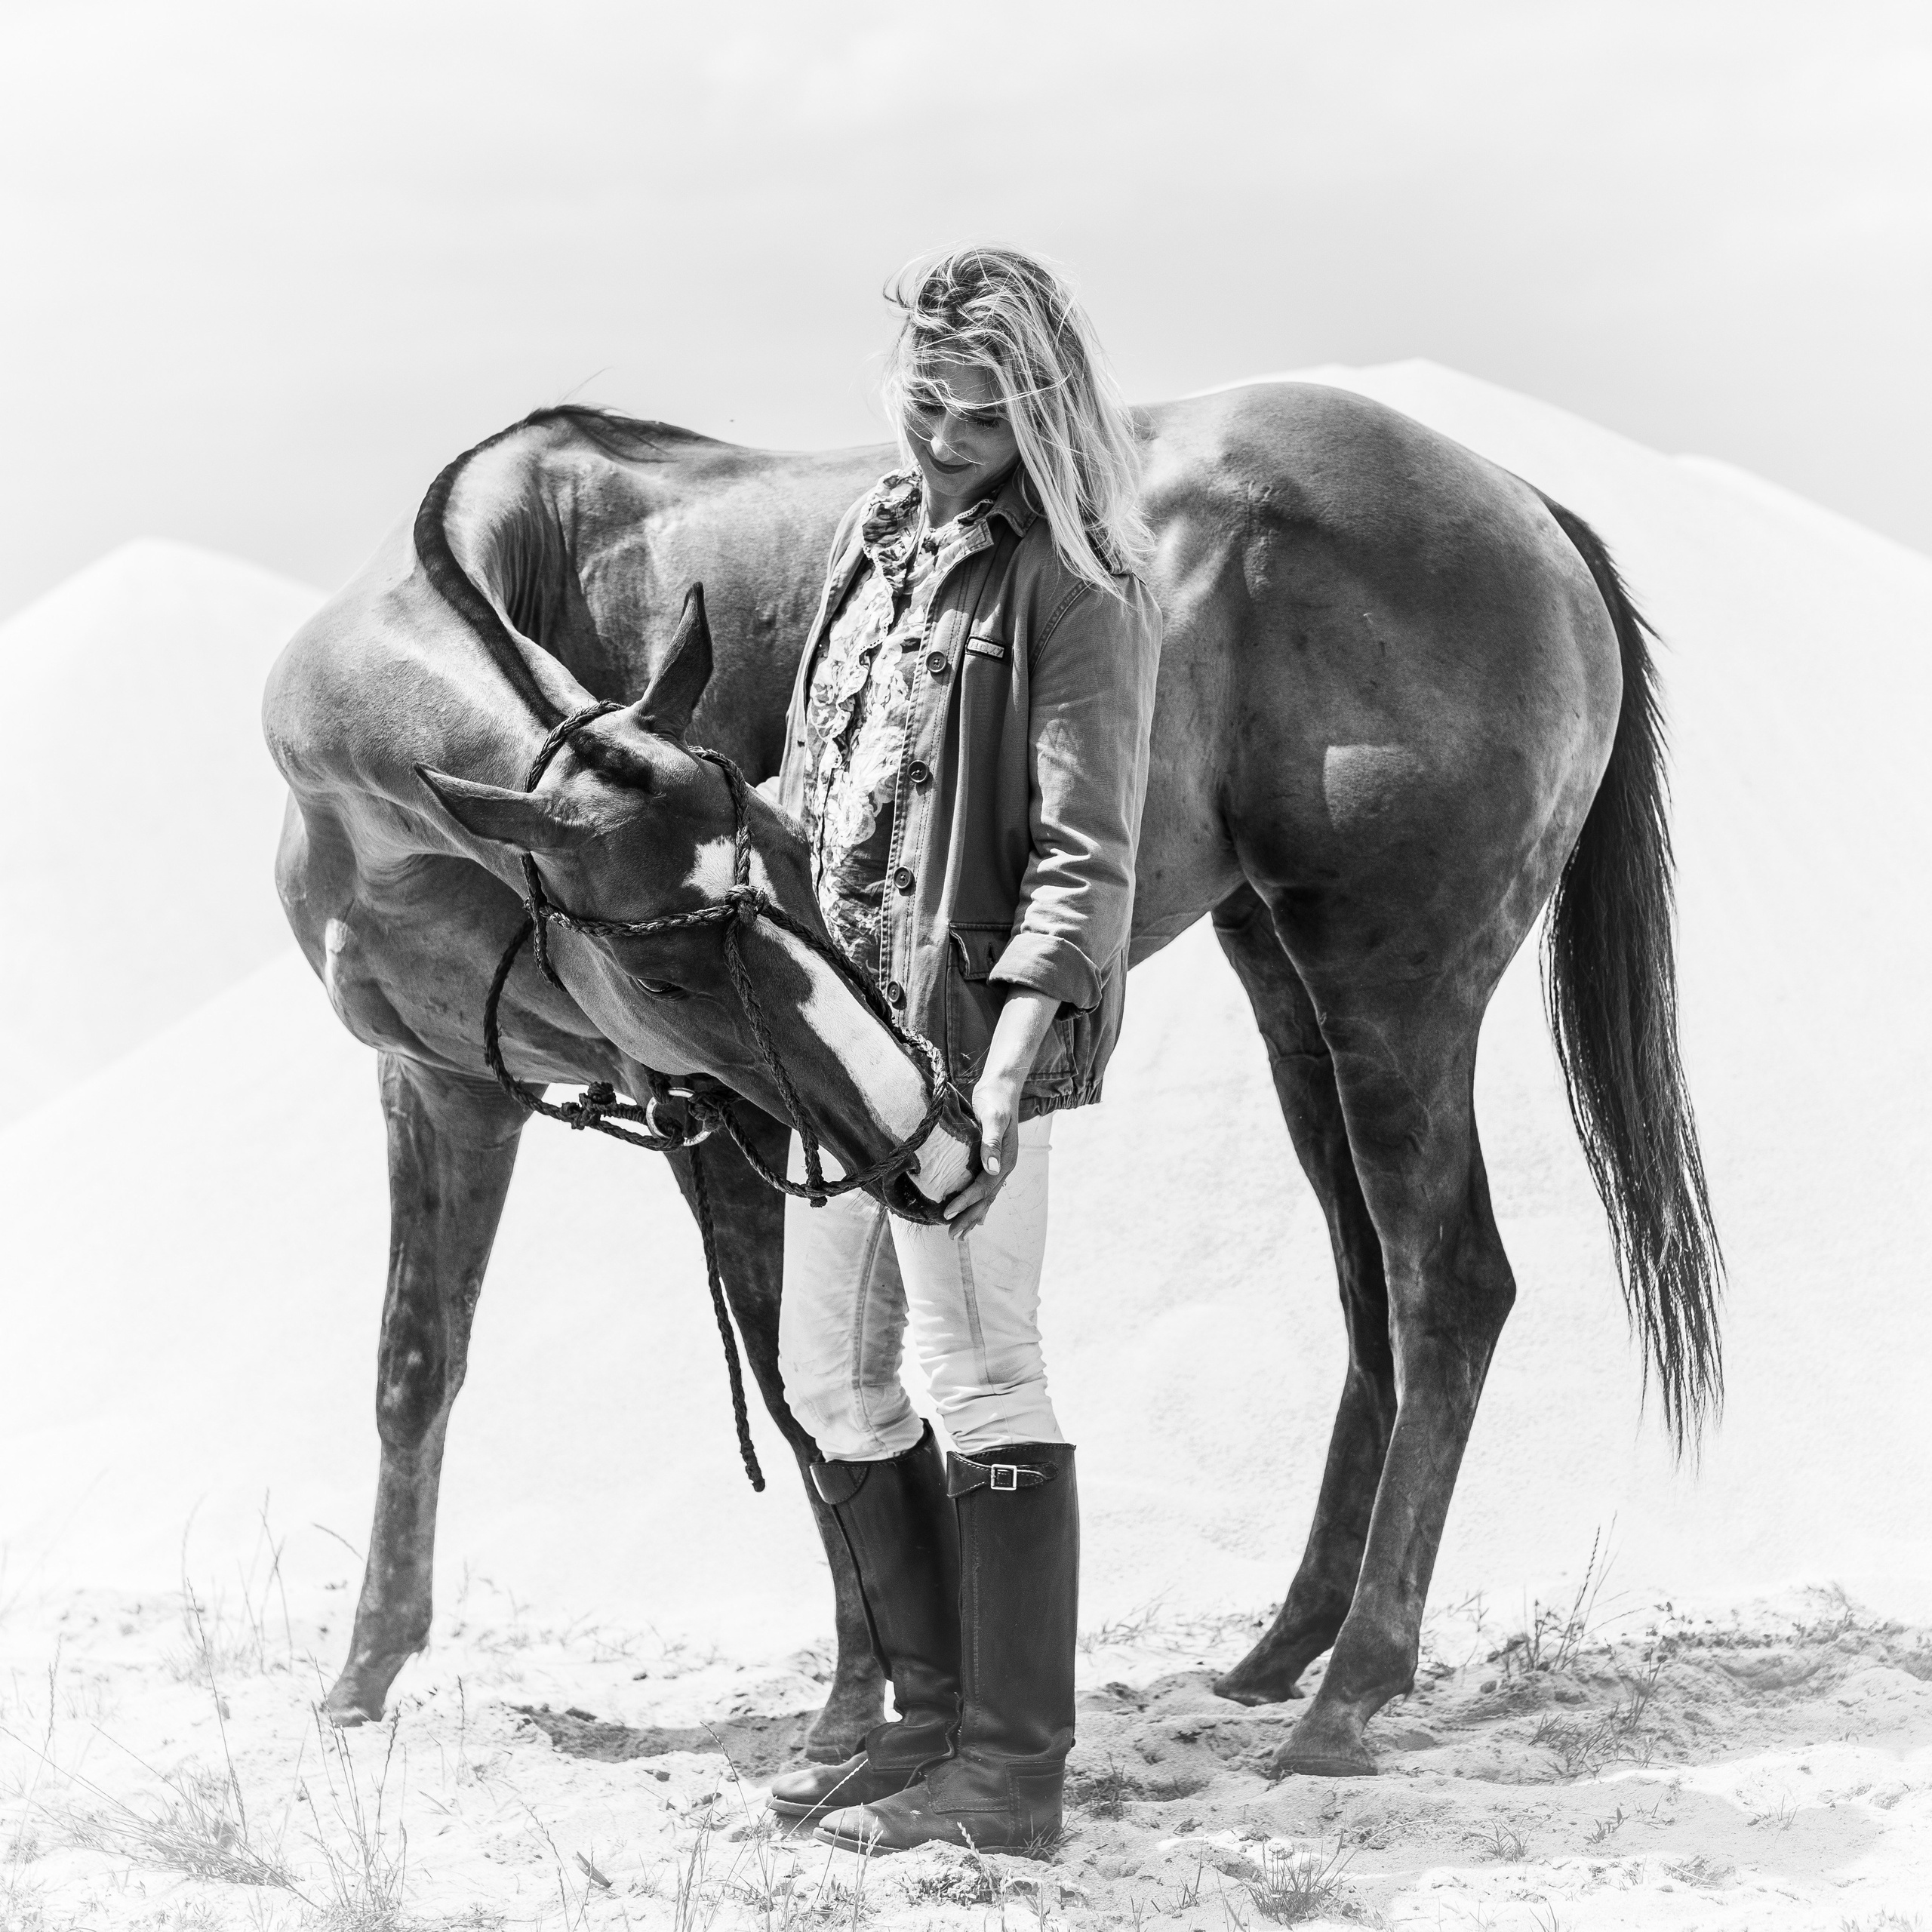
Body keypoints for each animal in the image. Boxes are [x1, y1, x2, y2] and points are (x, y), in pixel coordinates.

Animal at [262, 381, 1722, 1778]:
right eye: (670, 968)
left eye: (792, 852)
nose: (914, 1119)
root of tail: (1521, 502)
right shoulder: (441, 1089)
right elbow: (414, 1363)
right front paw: (360, 1680)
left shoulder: (725, 1121)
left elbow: (801, 1403)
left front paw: (859, 1706)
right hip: (1289, 992)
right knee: (1372, 1300)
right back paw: (1283, 1651)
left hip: (1393, 990)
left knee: (1448, 1287)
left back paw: (1352, 1687)